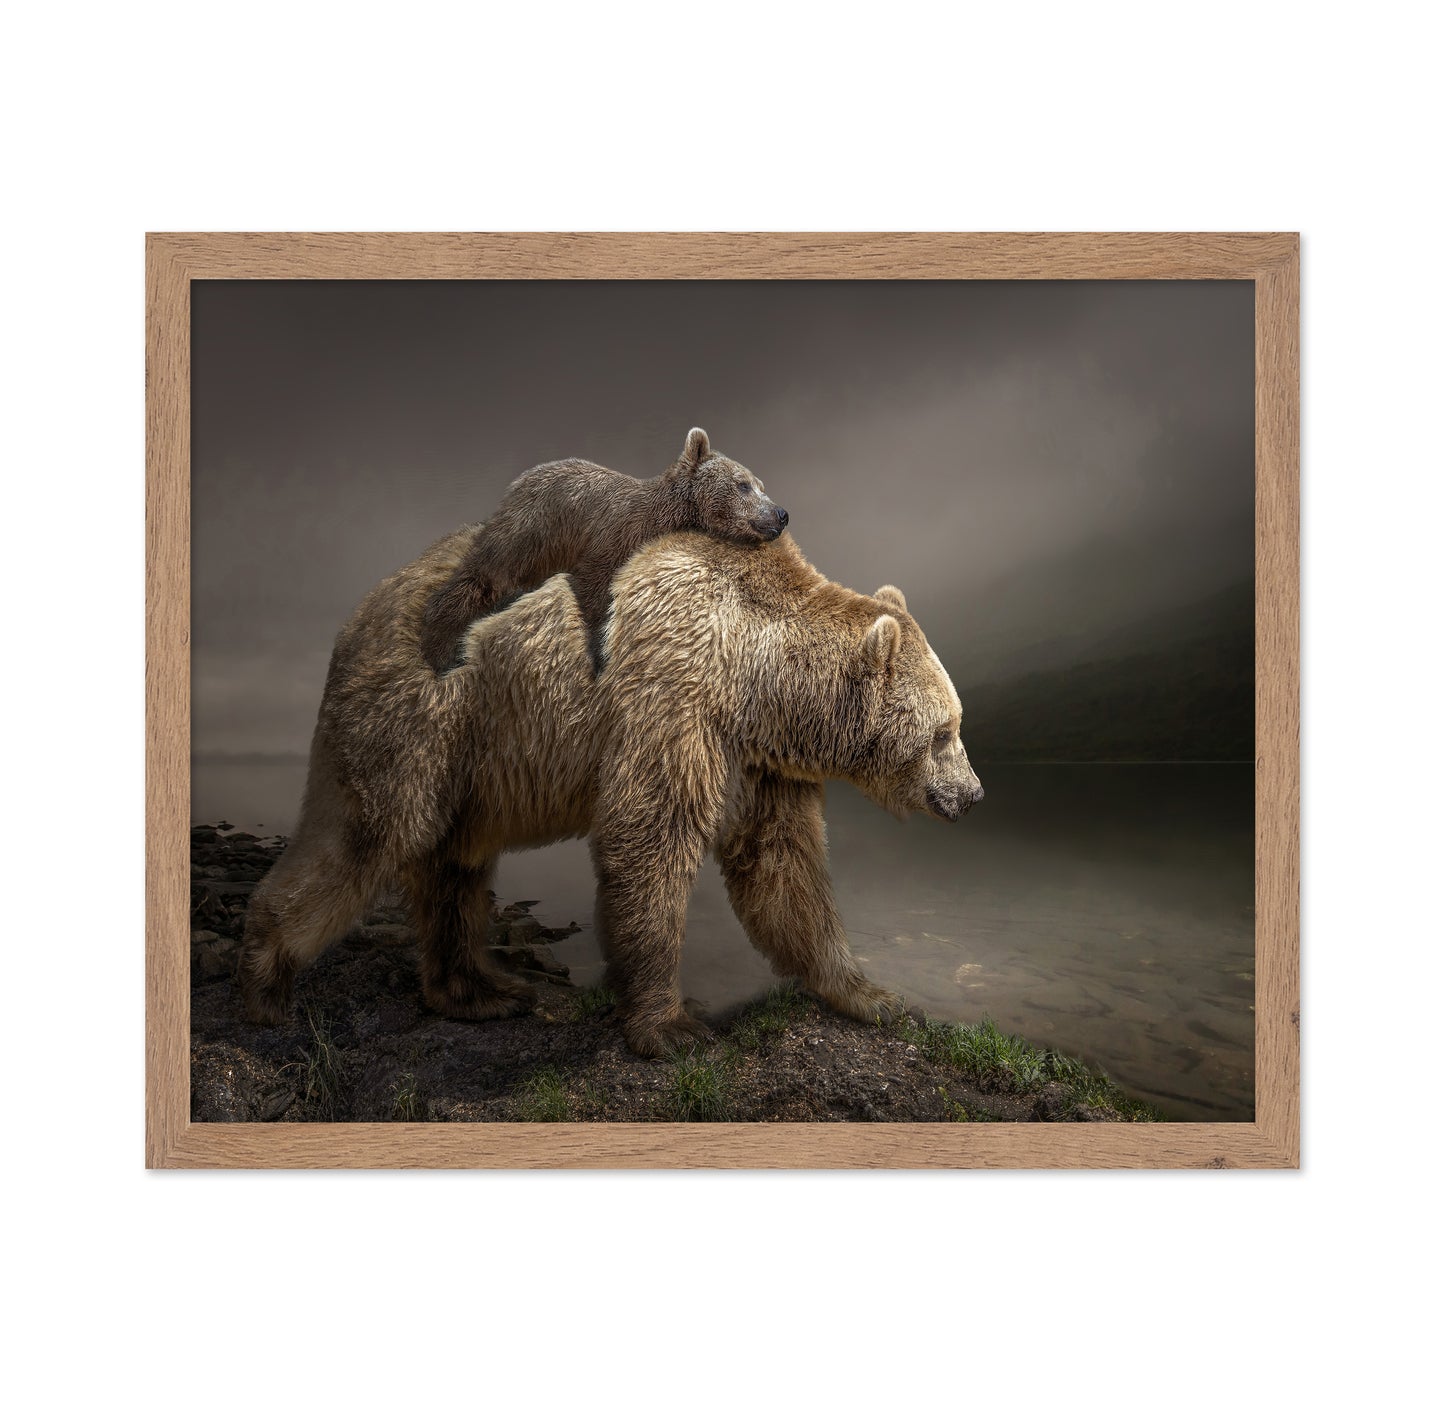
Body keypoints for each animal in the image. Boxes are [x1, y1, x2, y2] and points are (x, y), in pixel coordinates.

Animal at [238, 527, 983, 1057]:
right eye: (943, 731)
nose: (973, 794)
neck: (757, 678)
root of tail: (357, 613)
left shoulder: (761, 762)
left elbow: (783, 867)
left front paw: (872, 994)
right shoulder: (672, 695)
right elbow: (649, 840)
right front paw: (672, 1025)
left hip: (472, 758)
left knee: (454, 864)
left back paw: (479, 989)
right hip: (423, 714)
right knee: (367, 834)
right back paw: (267, 976)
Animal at [417, 426, 788, 672]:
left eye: (761, 485)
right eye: (743, 484)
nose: (780, 514)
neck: (662, 519)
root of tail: (517, 483)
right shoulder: (606, 540)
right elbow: (594, 592)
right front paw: (599, 658)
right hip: (529, 533)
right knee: (484, 576)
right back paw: (441, 649)